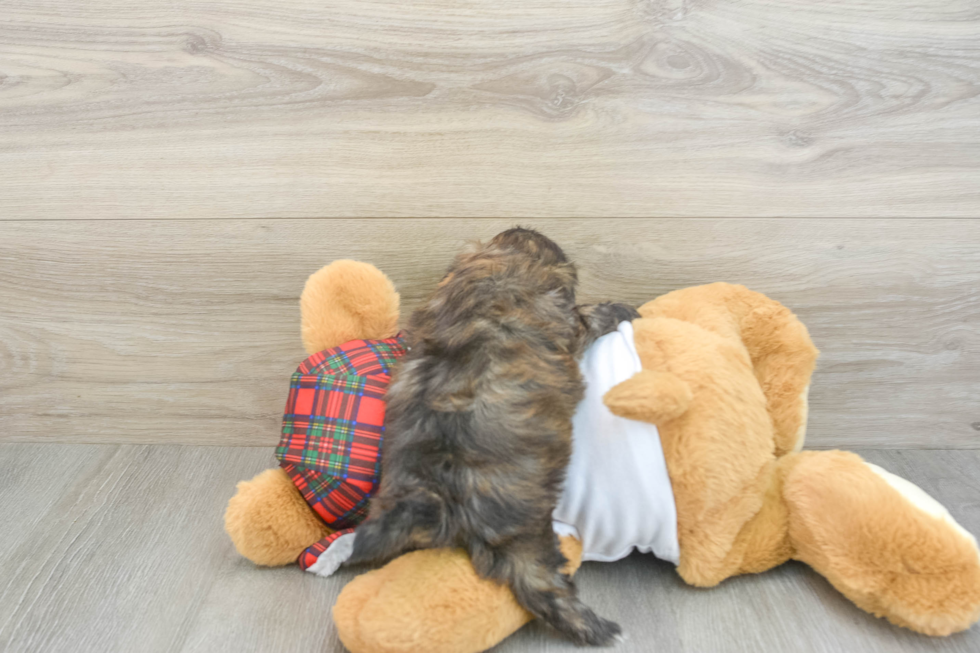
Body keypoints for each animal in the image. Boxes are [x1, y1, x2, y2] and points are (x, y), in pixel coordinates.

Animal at [348, 227, 640, 644]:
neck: (496, 270)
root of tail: (435, 491)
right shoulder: (572, 325)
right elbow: (590, 314)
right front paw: (622, 309)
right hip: (524, 528)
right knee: (540, 586)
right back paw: (597, 627)